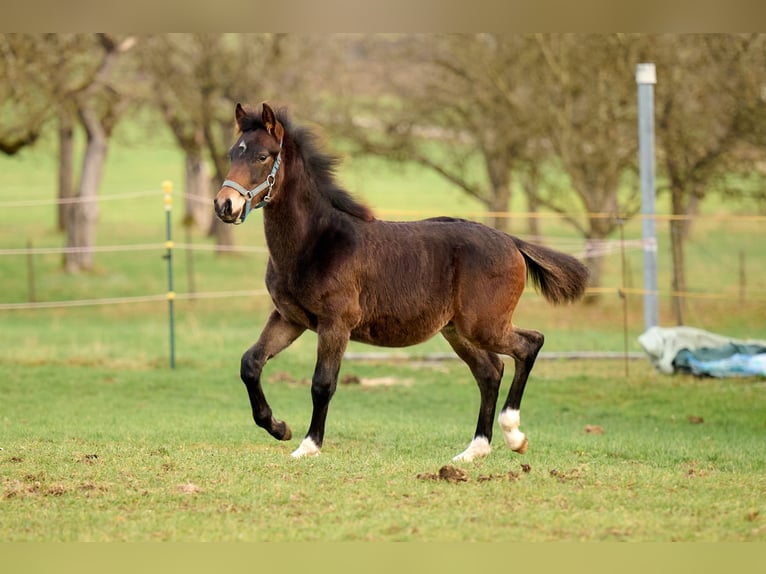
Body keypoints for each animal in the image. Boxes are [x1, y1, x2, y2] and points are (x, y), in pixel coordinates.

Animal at [213, 103, 592, 464]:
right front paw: (279, 428)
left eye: (263, 156)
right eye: (233, 152)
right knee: (490, 371)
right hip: (457, 331)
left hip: (484, 325)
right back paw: (475, 451)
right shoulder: (290, 318)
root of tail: (511, 241)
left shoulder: (336, 324)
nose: (224, 205)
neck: (315, 241)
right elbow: (251, 363)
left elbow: (322, 384)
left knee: (529, 344)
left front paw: (308, 446)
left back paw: (514, 434)